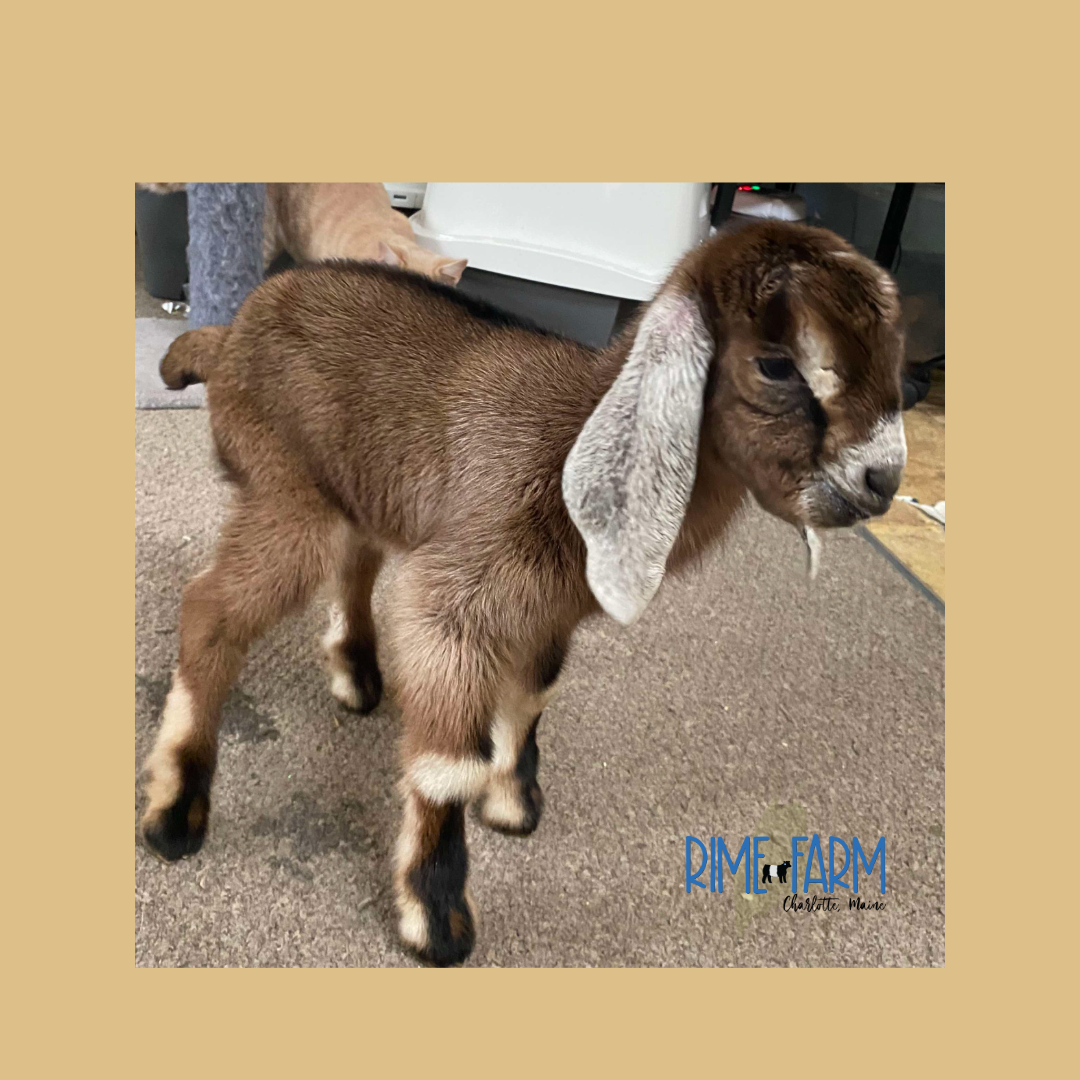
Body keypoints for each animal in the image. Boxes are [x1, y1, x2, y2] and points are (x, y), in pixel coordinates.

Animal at [140, 220, 907, 966]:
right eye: (777, 363)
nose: (884, 480)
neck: (572, 434)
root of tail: (229, 335)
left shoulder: (548, 611)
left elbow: (533, 692)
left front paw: (513, 803)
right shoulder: (455, 606)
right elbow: (449, 762)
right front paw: (437, 922)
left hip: (359, 491)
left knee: (354, 564)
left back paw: (357, 676)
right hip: (287, 486)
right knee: (211, 607)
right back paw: (175, 812)